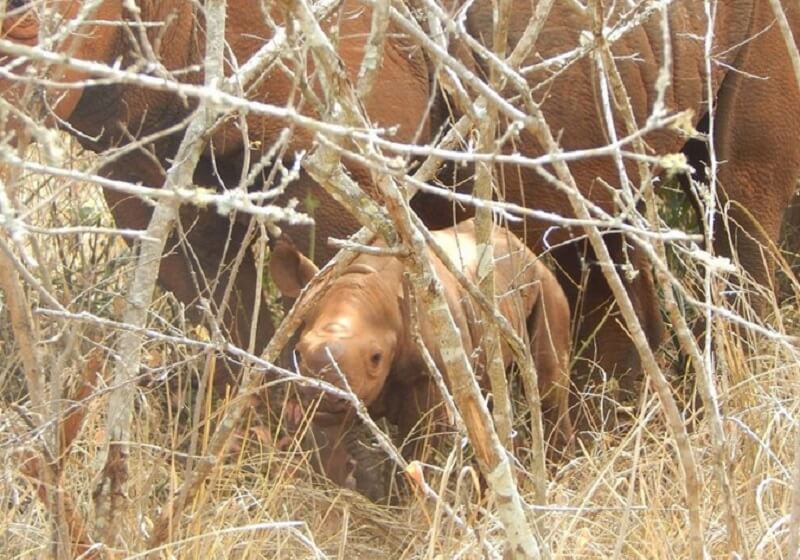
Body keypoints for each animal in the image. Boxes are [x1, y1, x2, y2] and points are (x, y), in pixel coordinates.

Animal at [272, 220, 572, 498]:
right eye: (298, 352)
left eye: (376, 358)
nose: (322, 392)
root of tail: (526, 249)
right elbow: (326, 444)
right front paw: (341, 489)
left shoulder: (429, 378)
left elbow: (419, 451)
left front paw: (407, 506)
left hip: (544, 283)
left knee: (549, 384)